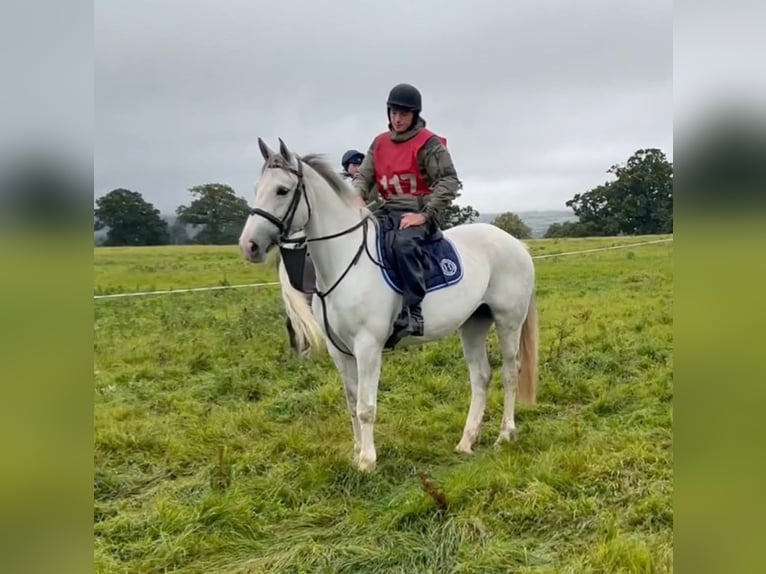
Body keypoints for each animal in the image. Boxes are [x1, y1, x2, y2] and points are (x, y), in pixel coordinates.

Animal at [239, 137, 539, 472]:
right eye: (257, 188)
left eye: (282, 190)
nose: (249, 245)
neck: (345, 260)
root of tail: (516, 243)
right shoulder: (338, 349)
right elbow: (351, 402)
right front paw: (356, 453)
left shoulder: (368, 346)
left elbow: (366, 406)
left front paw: (367, 462)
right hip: (473, 323)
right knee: (481, 376)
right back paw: (466, 441)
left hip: (508, 320)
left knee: (510, 372)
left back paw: (505, 435)